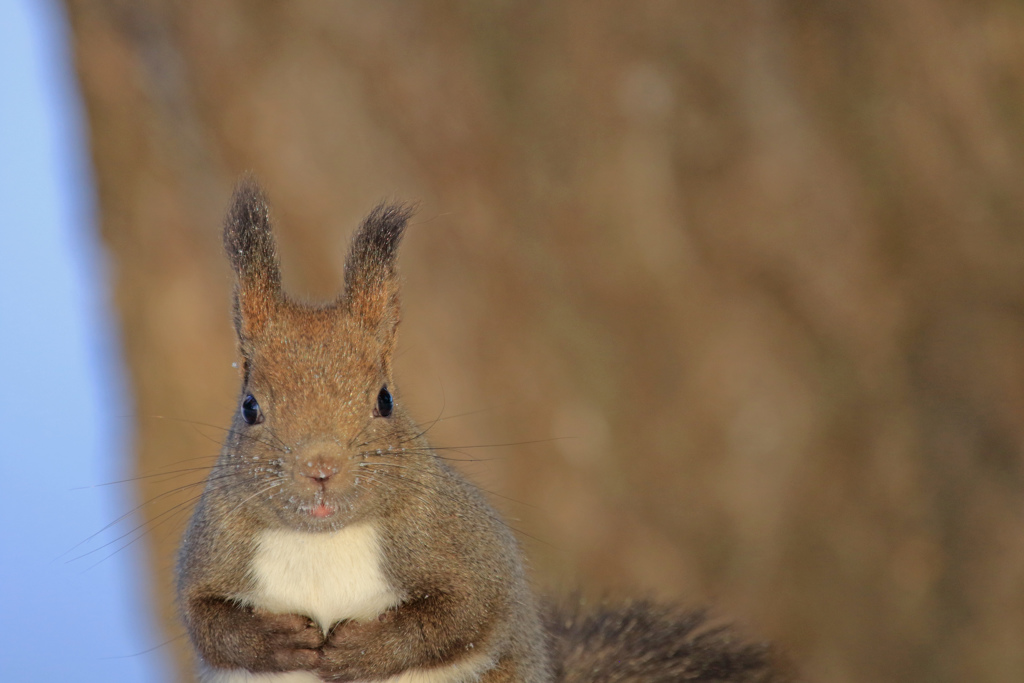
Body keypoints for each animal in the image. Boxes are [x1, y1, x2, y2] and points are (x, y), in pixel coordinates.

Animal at [176, 179, 790, 679]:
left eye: (384, 400)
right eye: (251, 407)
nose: (320, 467)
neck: (323, 539)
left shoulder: (462, 543)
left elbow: (464, 614)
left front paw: (365, 651)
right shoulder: (214, 544)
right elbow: (205, 621)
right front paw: (276, 641)